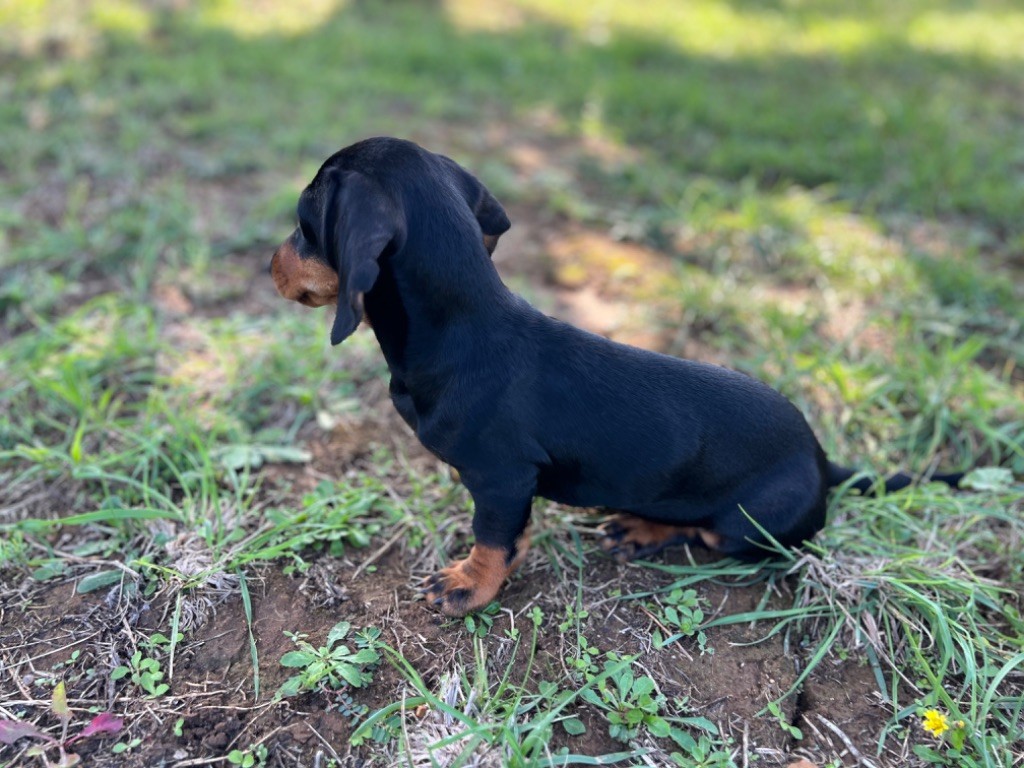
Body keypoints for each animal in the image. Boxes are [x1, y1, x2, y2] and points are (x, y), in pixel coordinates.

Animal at [268, 138, 962, 618]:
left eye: (304, 224)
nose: (268, 263)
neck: (463, 337)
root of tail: (821, 458)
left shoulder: (501, 476)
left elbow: (492, 539)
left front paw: (468, 585)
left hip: (745, 523)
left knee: (704, 530)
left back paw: (644, 527)